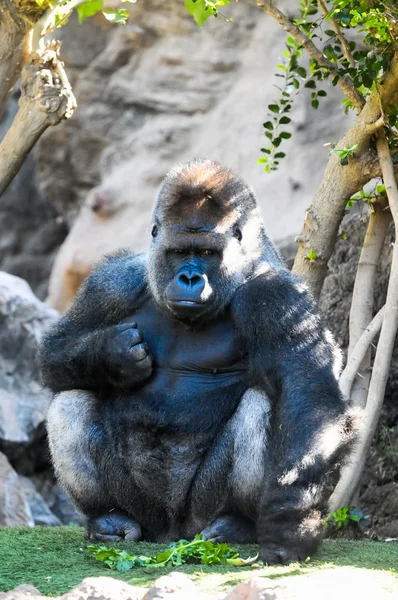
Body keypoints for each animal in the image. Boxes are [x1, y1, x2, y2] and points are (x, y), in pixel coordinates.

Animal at [39, 158, 354, 564]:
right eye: (177, 252)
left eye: (206, 254)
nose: (189, 277)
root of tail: (170, 533)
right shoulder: (112, 281)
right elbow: (54, 351)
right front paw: (112, 355)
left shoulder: (277, 296)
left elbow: (309, 395)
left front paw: (291, 524)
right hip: (147, 515)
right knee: (71, 398)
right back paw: (108, 517)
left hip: (198, 514)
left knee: (262, 403)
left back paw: (236, 523)